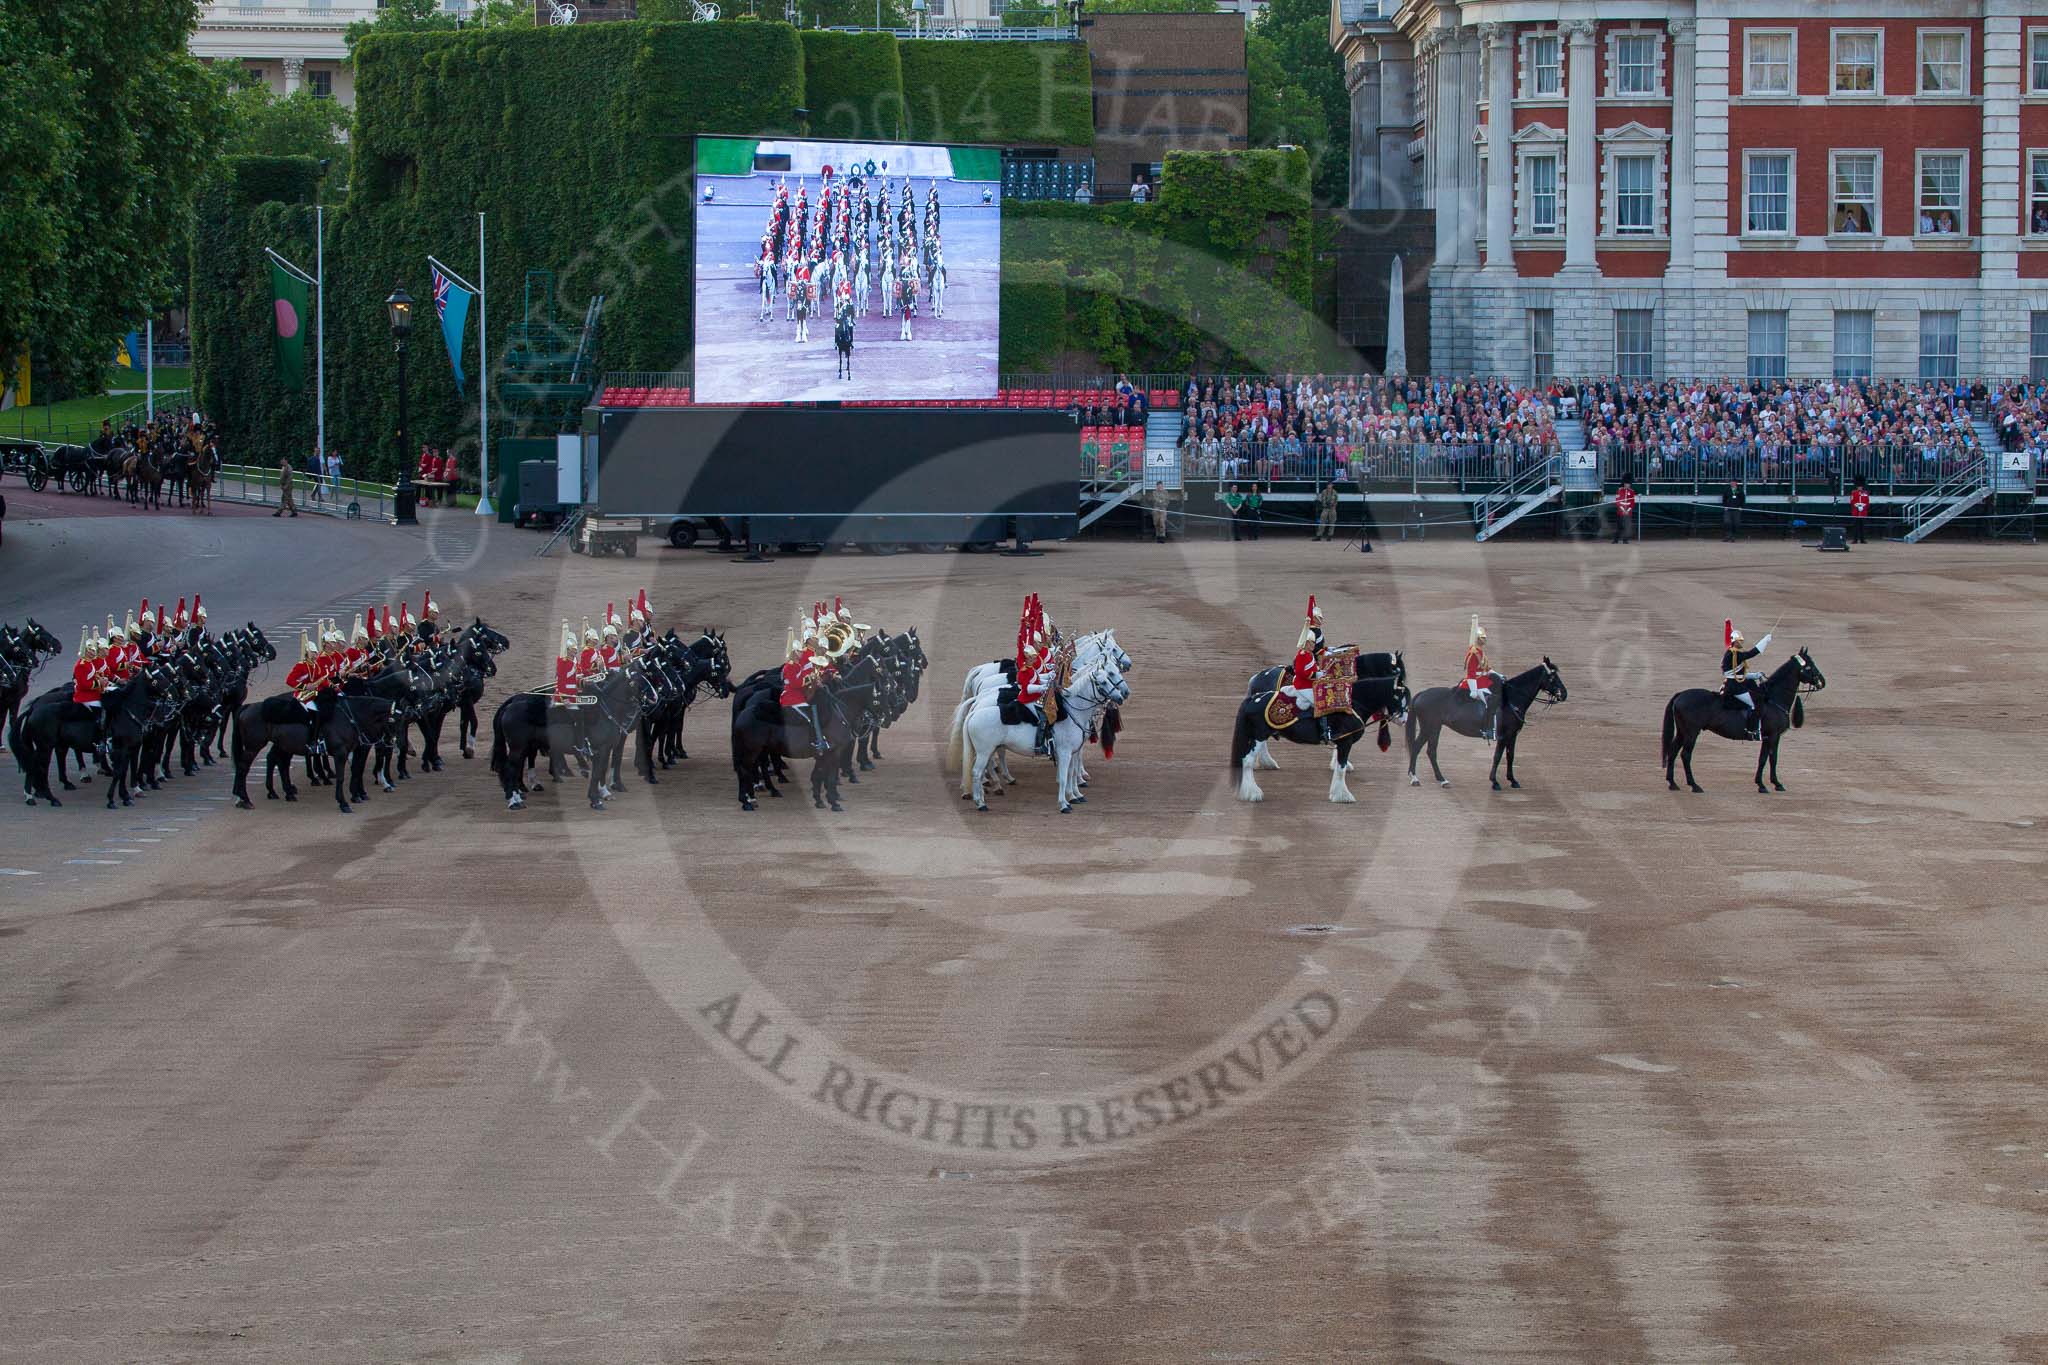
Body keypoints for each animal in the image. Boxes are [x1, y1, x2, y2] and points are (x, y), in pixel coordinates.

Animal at [950, 667, 1130, 818]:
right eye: (1104, 681)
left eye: (1110, 676)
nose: (1121, 697)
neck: (1072, 713)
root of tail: (975, 712)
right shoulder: (1064, 753)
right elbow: (1063, 777)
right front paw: (1064, 804)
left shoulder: (1072, 752)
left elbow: (1070, 774)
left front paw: (1074, 796)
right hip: (984, 751)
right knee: (976, 772)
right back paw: (981, 802)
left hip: (987, 750)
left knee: (982, 769)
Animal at [1228, 675, 1409, 806]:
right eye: (1401, 696)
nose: (1405, 720)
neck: (1352, 702)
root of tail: (1253, 699)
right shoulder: (1345, 741)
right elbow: (1341, 768)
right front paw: (1342, 795)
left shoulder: (1341, 742)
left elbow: (1339, 766)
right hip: (1258, 737)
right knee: (1247, 761)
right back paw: (1253, 793)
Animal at [1409, 658, 1564, 789]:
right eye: (1552, 677)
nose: (1564, 694)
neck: (1511, 700)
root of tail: (1422, 693)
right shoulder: (1503, 735)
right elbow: (1498, 756)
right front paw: (1494, 781)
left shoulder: (1513, 735)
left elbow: (1510, 756)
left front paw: (1512, 780)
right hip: (1431, 727)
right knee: (1426, 749)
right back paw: (1430, 778)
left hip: (1431, 728)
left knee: (1422, 749)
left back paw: (1425, 778)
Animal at [1662, 654, 1826, 802]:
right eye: (1809, 666)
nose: (1822, 682)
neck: (1773, 699)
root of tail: (1681, 695)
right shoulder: (1774, 735)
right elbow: (1771, 758)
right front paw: (1771, 784)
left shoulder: (1767, 737)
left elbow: (1764, 758)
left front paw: (1765, 784)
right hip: (1691, 732)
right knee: (1685, 755)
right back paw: (1694, 785)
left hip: (1682, 732)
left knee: (1673, 751)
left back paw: (1673, 783)